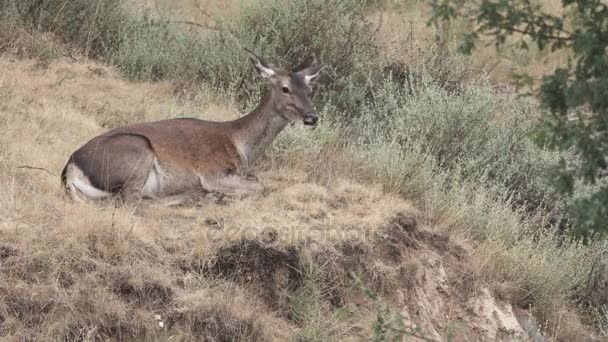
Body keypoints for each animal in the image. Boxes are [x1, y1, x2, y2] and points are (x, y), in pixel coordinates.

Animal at [61, 50, 326, 206]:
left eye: (310, 90)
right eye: (285, 88)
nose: (312, 117)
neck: (240, 145)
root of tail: (69, 171)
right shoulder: (212, 172)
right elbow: (261, 186)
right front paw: (218, 193)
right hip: (138, 152)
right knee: (133, 202)